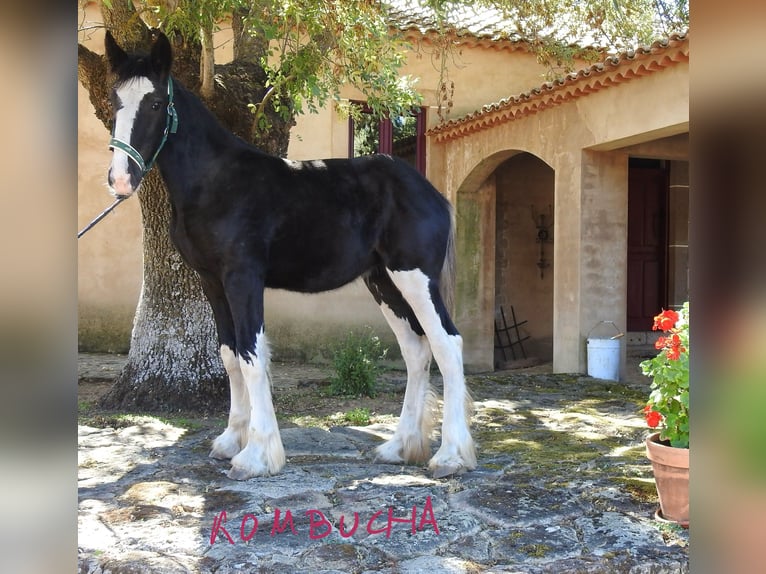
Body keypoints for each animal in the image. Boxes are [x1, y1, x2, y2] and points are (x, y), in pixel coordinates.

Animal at [102, 31, 474, 482]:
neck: (216, 182)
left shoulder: (243, 278)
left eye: (156, 103)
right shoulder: (212, 282)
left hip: (415, 277)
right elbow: (229, 355)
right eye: (114, 99)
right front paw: (231, 441)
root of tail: (430, 192)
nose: (121, 179)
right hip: (384, 282)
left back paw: (451, 455)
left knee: (447, 345)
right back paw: (399, 447)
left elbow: (251, 355)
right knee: (416, 350)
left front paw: (257, 456)